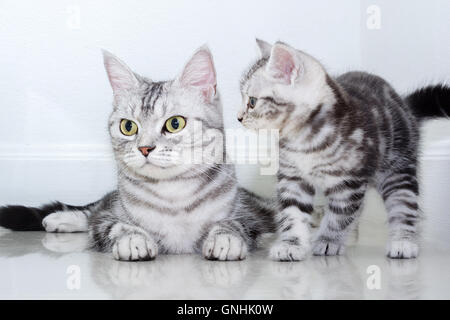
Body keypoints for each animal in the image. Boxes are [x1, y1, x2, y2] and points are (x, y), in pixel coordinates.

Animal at [0, 45, 274, 260]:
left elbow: (234, 224)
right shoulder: (108, 218)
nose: (144, 148)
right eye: (128, 127)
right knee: (92, 211)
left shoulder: (249, 215)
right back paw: (60, 219)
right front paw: (133, 238)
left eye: (175, 123)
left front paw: (225, 238)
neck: (173, 196)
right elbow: (113, 225)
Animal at [237, 40, 448, 262]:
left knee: (404, 203)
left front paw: (328, 241)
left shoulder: (349, 182)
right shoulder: (293, 178)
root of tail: (404, 104)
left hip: (398, 169)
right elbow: (293, 212)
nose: (238, 117)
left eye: (252, 102)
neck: (303, 140)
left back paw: (403, 241)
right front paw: (291, 244)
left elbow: (340, 215)